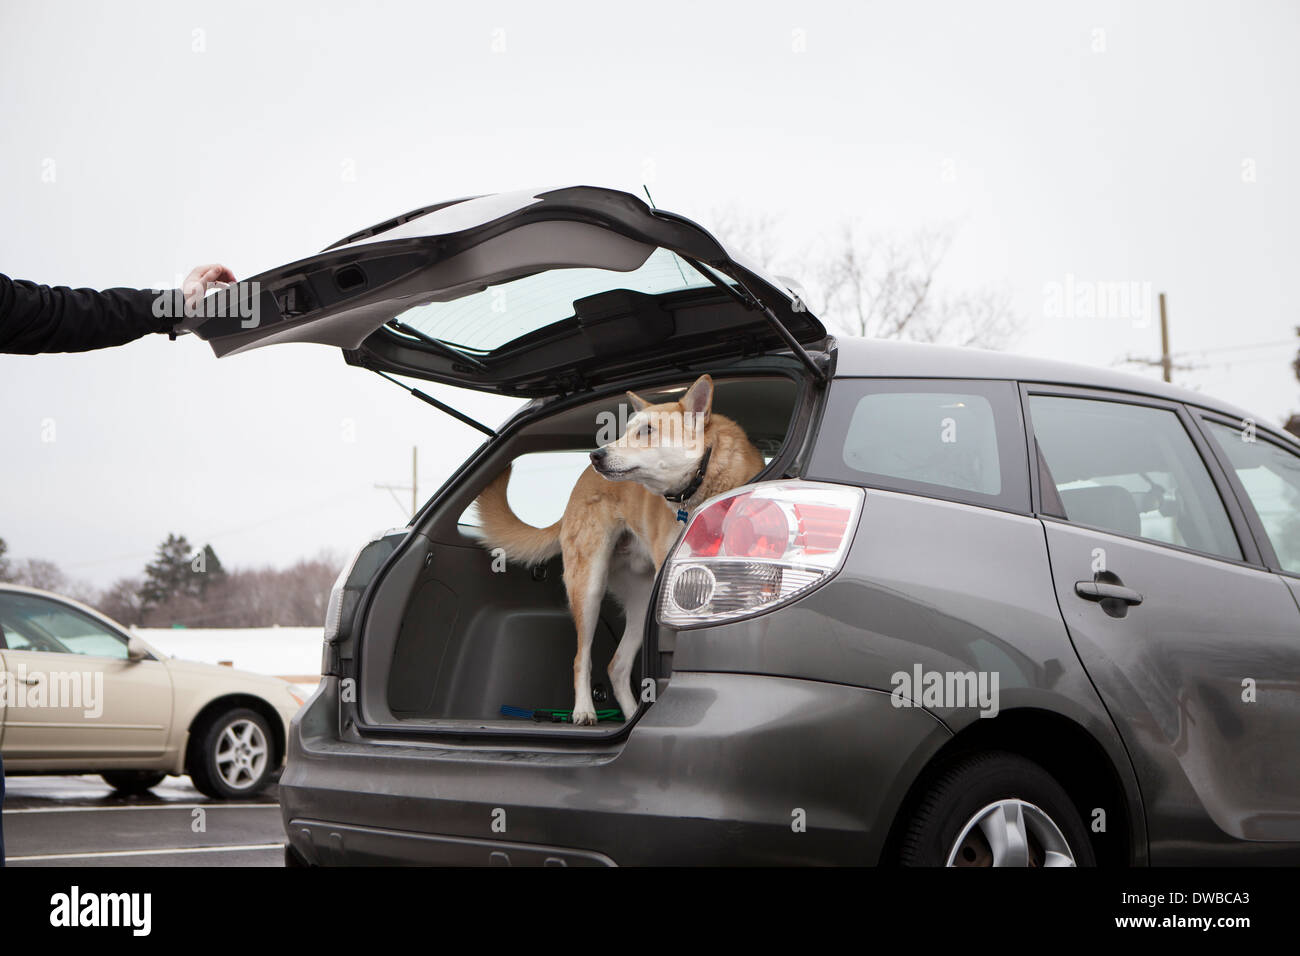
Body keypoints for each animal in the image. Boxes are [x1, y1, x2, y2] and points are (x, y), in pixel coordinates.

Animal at [475, 374, 759, 723]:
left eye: (647, 430)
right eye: (624, 430)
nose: (595, 454)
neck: (701, 480)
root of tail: (577, 487)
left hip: (642, 601)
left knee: (617, 666)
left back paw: (632, 714)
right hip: (589, 587)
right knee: (582, 658)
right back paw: (584, 710)